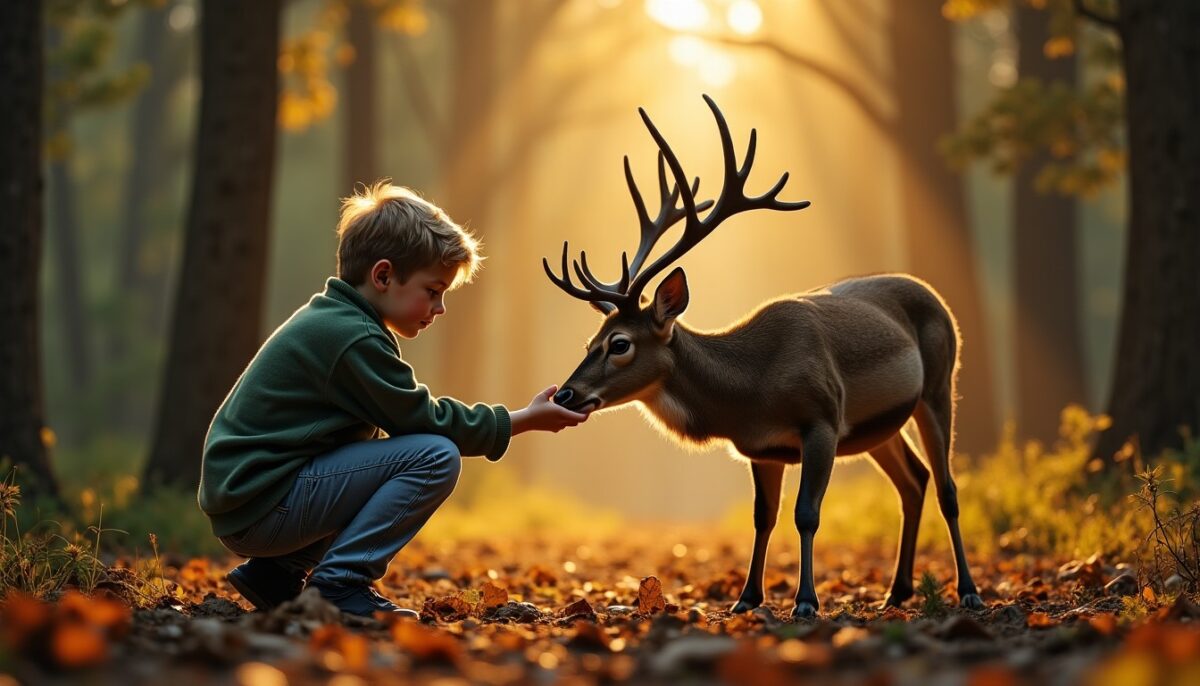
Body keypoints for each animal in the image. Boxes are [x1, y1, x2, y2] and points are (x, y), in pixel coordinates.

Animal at [543, 95, 983, 619]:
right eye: (590, 340)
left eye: (620, 343)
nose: (566, 394)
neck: (751, 390)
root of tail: (937, 298)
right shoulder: (762, 448)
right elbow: (763, 517)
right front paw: (747, 598)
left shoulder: (822, 419)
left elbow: (806, 514)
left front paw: (806, 601)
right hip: (880, 427)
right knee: (913, 481)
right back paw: (896, 592)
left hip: (938, 385)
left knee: (948, 488)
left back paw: (969, 591)